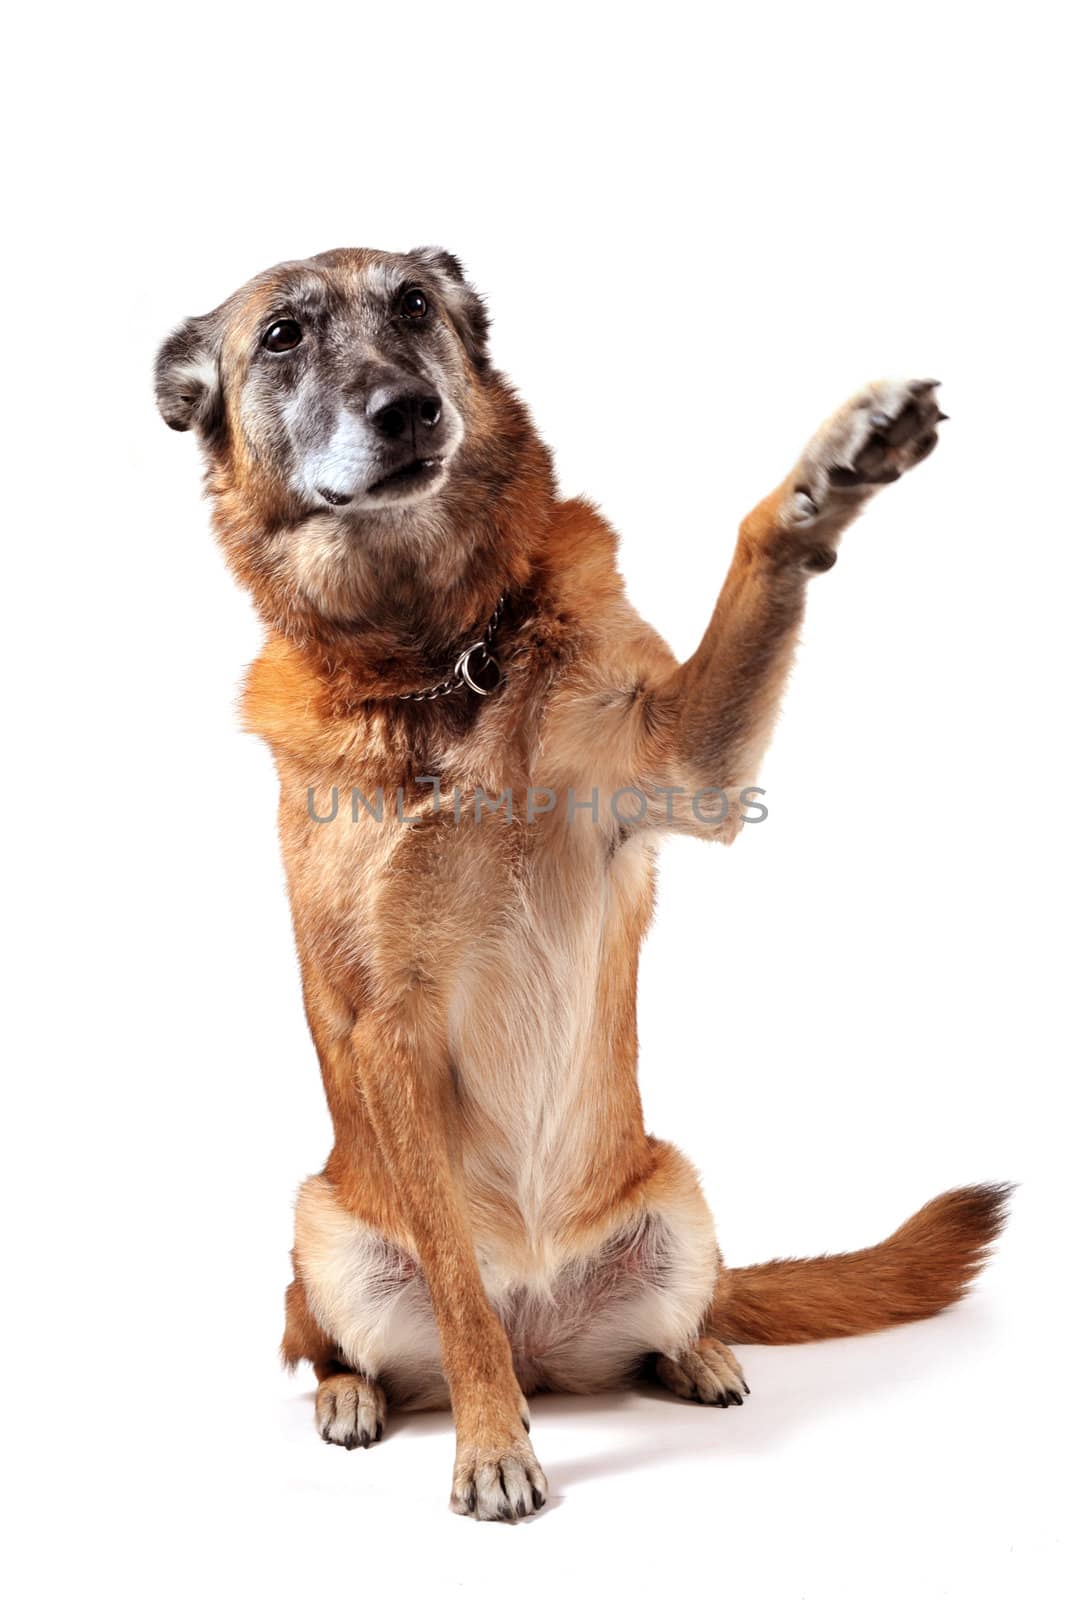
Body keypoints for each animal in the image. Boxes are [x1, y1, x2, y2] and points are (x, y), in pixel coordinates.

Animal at [158, 249, 1011, 1523]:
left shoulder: (688, 765)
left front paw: (830, 472)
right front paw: (489, 1445)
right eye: (282, 335)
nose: (407, 410)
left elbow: (754, 558)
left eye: (413, 304)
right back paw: (359, 1396)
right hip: (322, 1226)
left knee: (686, 1314)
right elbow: (456, 1291)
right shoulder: (382, 1027)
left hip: (679, 1199)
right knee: (330, 1340)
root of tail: (547, 1339)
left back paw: (699, 1353)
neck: (440, 658)